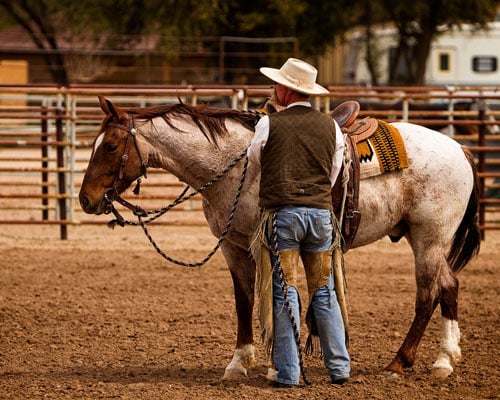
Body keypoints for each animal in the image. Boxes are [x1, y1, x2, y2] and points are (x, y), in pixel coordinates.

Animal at [79, 97, 480, 382]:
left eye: (110, 146)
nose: (85, 199)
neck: (235, 162)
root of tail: (459, 149)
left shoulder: (268, 242)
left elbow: (276, 297)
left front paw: (275, 365)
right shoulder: (232, 245)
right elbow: (243, 301)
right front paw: (238, 362)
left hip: (429, 239)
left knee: (429, 293)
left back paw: (401, 362)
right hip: (426, 239)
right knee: (449, 286)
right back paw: (445, 359)